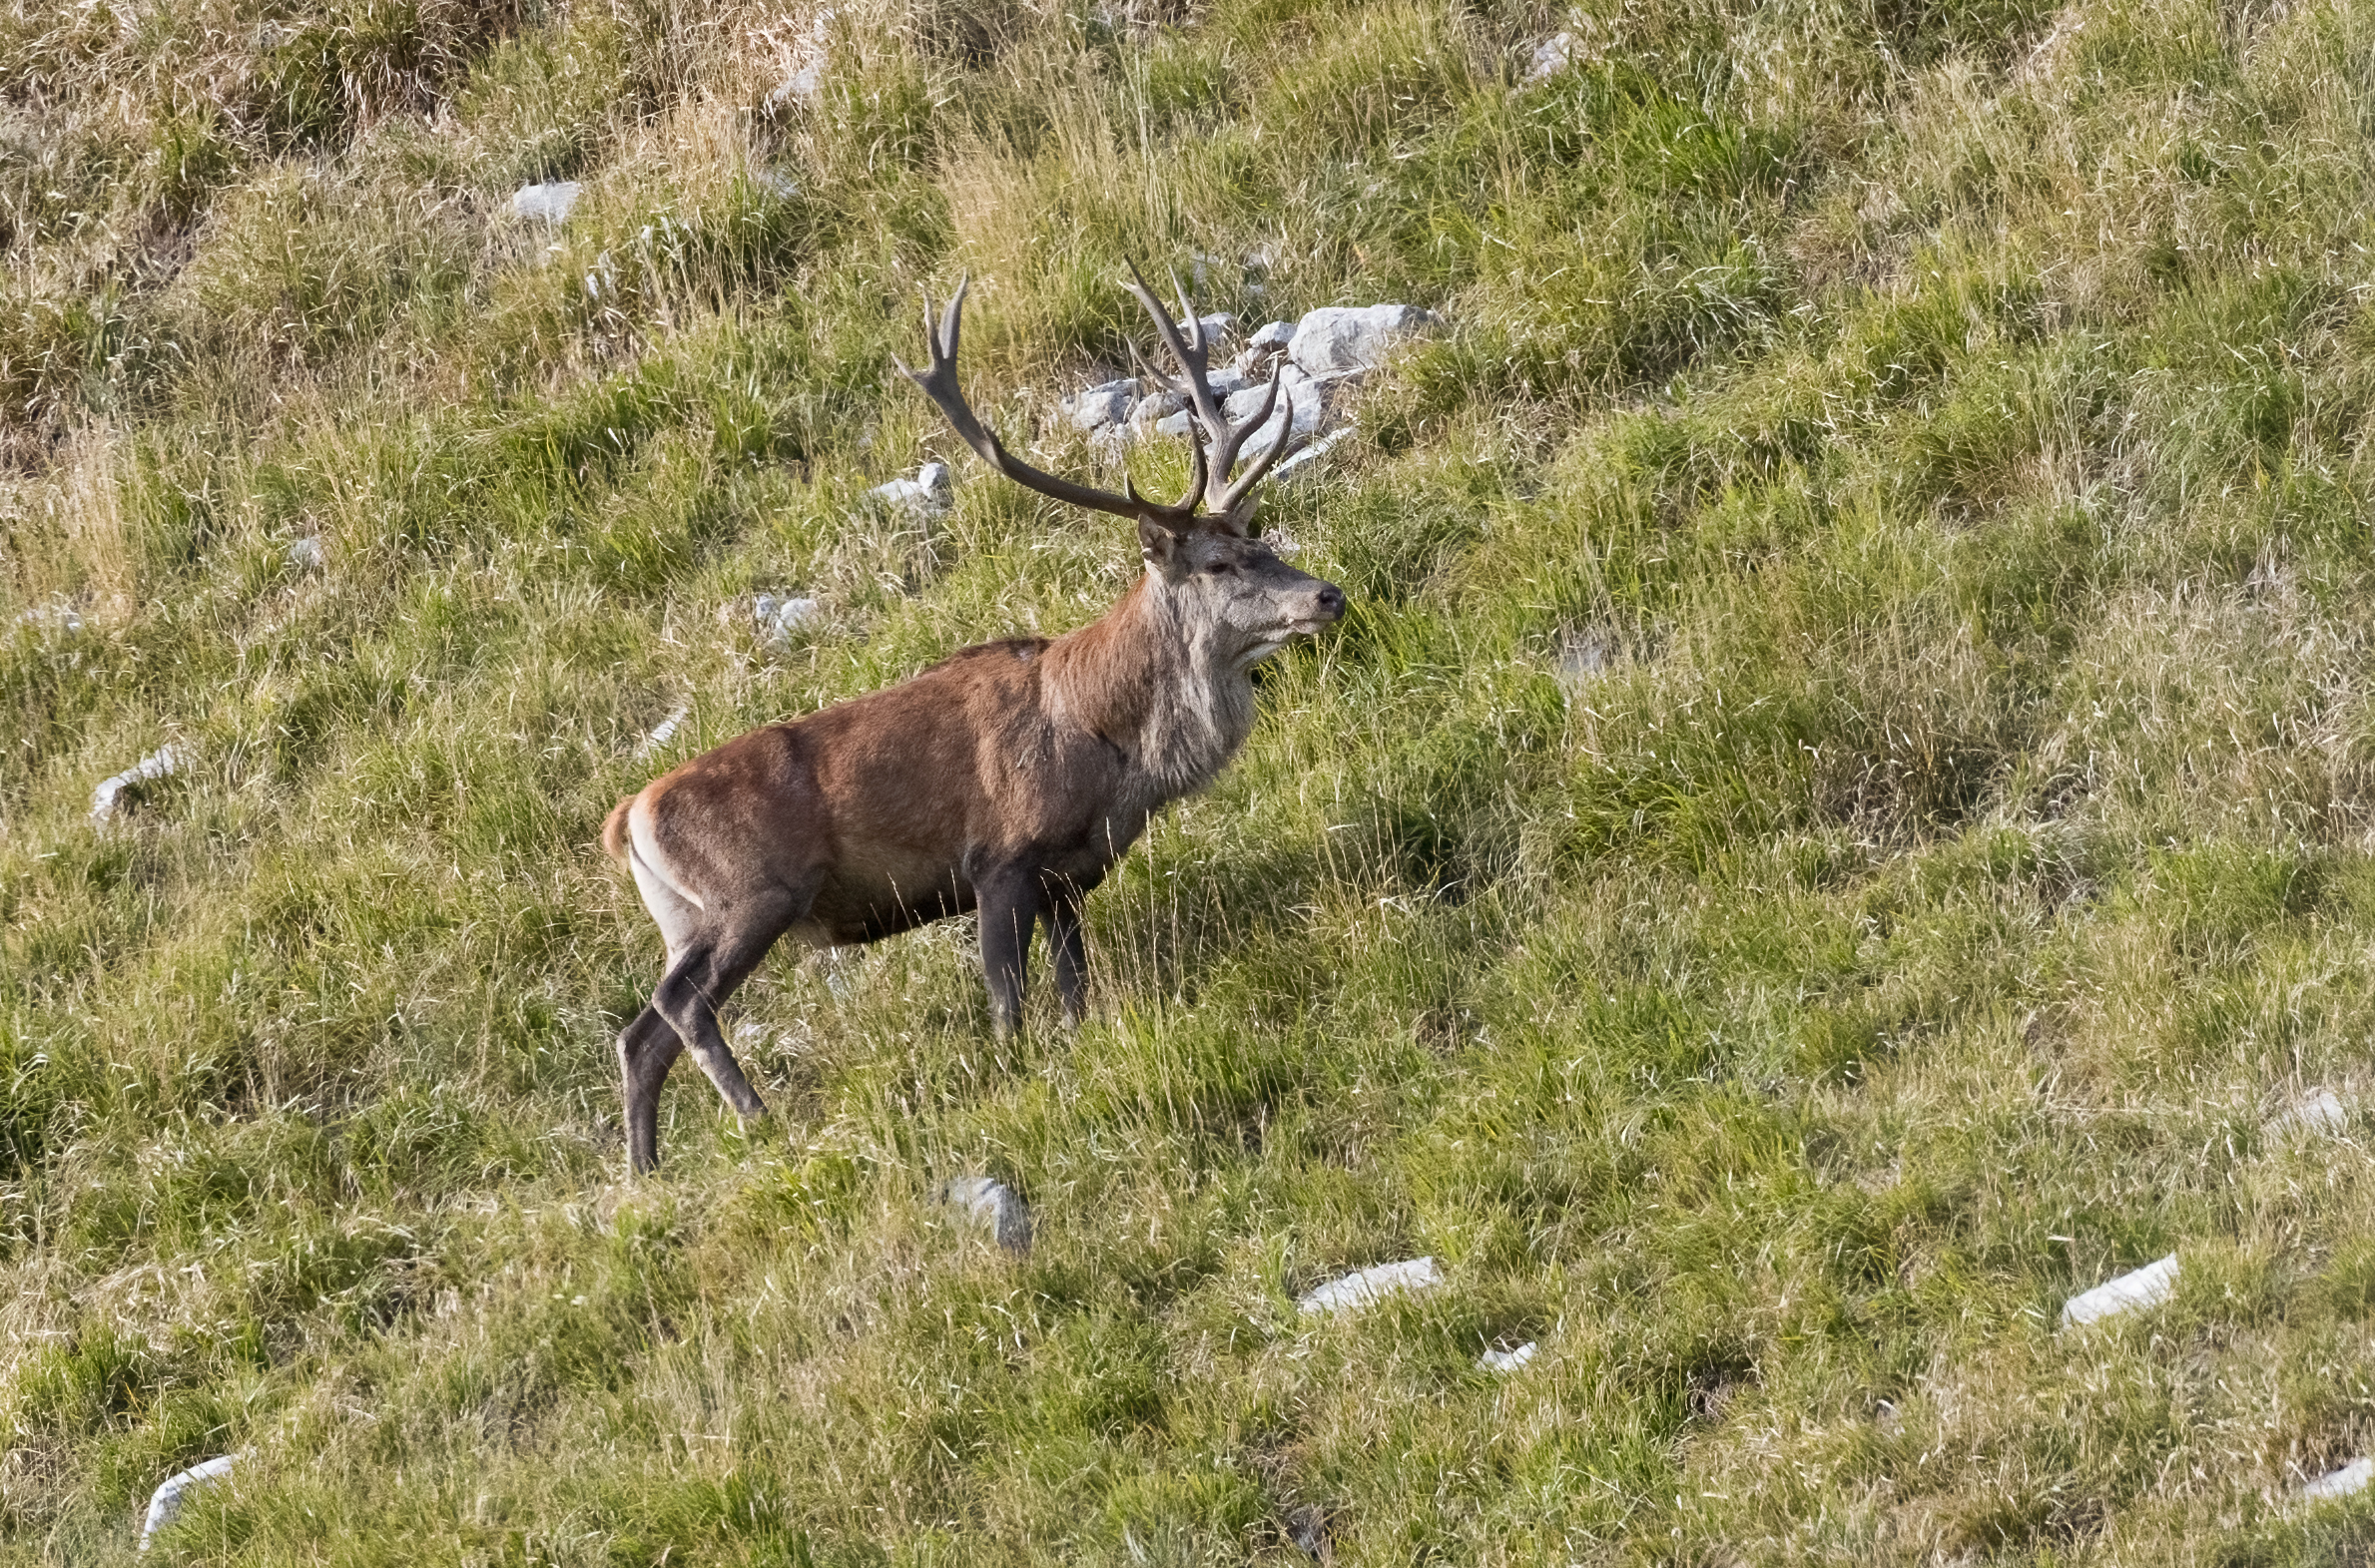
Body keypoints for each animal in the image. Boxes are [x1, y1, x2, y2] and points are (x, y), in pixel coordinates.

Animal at [600, 267, 1346, 1172]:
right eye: (1217, 562)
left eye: (1260, 537)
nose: (1327, 595)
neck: (1106, 752)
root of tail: (625, 817)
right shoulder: (999, 856)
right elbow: (1006, 1002)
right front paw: (1015, 1071)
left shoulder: (1070, 873)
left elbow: (1073, 991)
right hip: (748, 895)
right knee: (681, 1006)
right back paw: (755, 1115)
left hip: (682, 917)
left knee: (640, 1033)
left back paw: (644, 1170)